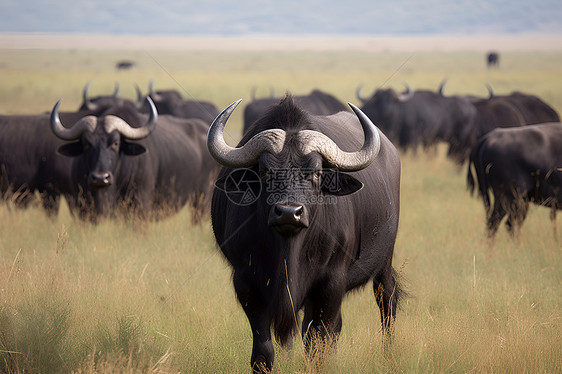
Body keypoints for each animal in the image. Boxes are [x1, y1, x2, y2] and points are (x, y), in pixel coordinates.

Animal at [50, 96, 217, 222]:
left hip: (202, 198)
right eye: (86, 144)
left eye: (116, 143)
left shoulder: (140, 205)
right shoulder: (83, 206)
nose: (100, 178)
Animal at [208, 96, 400, 372]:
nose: (289, 213)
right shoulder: (245, 283)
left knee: (387, 302)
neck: (289, 251)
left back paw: (389, 353)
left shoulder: (331, 283)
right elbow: (263, 351)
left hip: (384, 262)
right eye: (265, 172)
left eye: (316, 173)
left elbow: (318, 344)